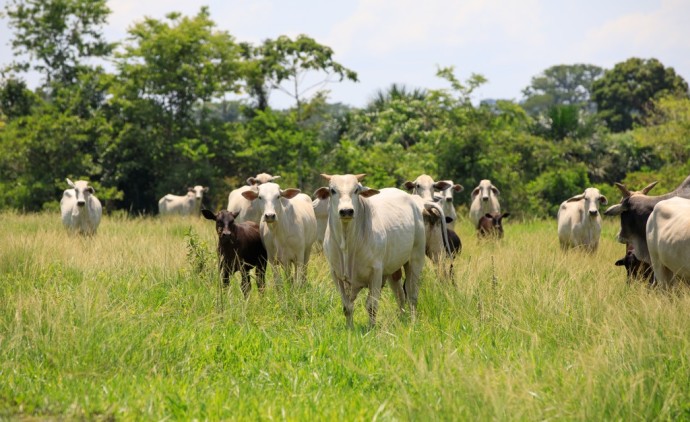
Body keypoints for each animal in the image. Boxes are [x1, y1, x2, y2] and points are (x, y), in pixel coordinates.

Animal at [314, 173, 428, 328]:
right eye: (332, 190)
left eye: (356, 190)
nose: (346, 211)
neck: (347, 244)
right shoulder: (336, 274)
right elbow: (347, 306)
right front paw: (349, 328)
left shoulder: (376, 272)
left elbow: (372, 305)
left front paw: (371, 328)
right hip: (392, 270)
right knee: (400, 294)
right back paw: (402, 318)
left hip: (416, 259)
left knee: (412, 295)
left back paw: (412, 321)